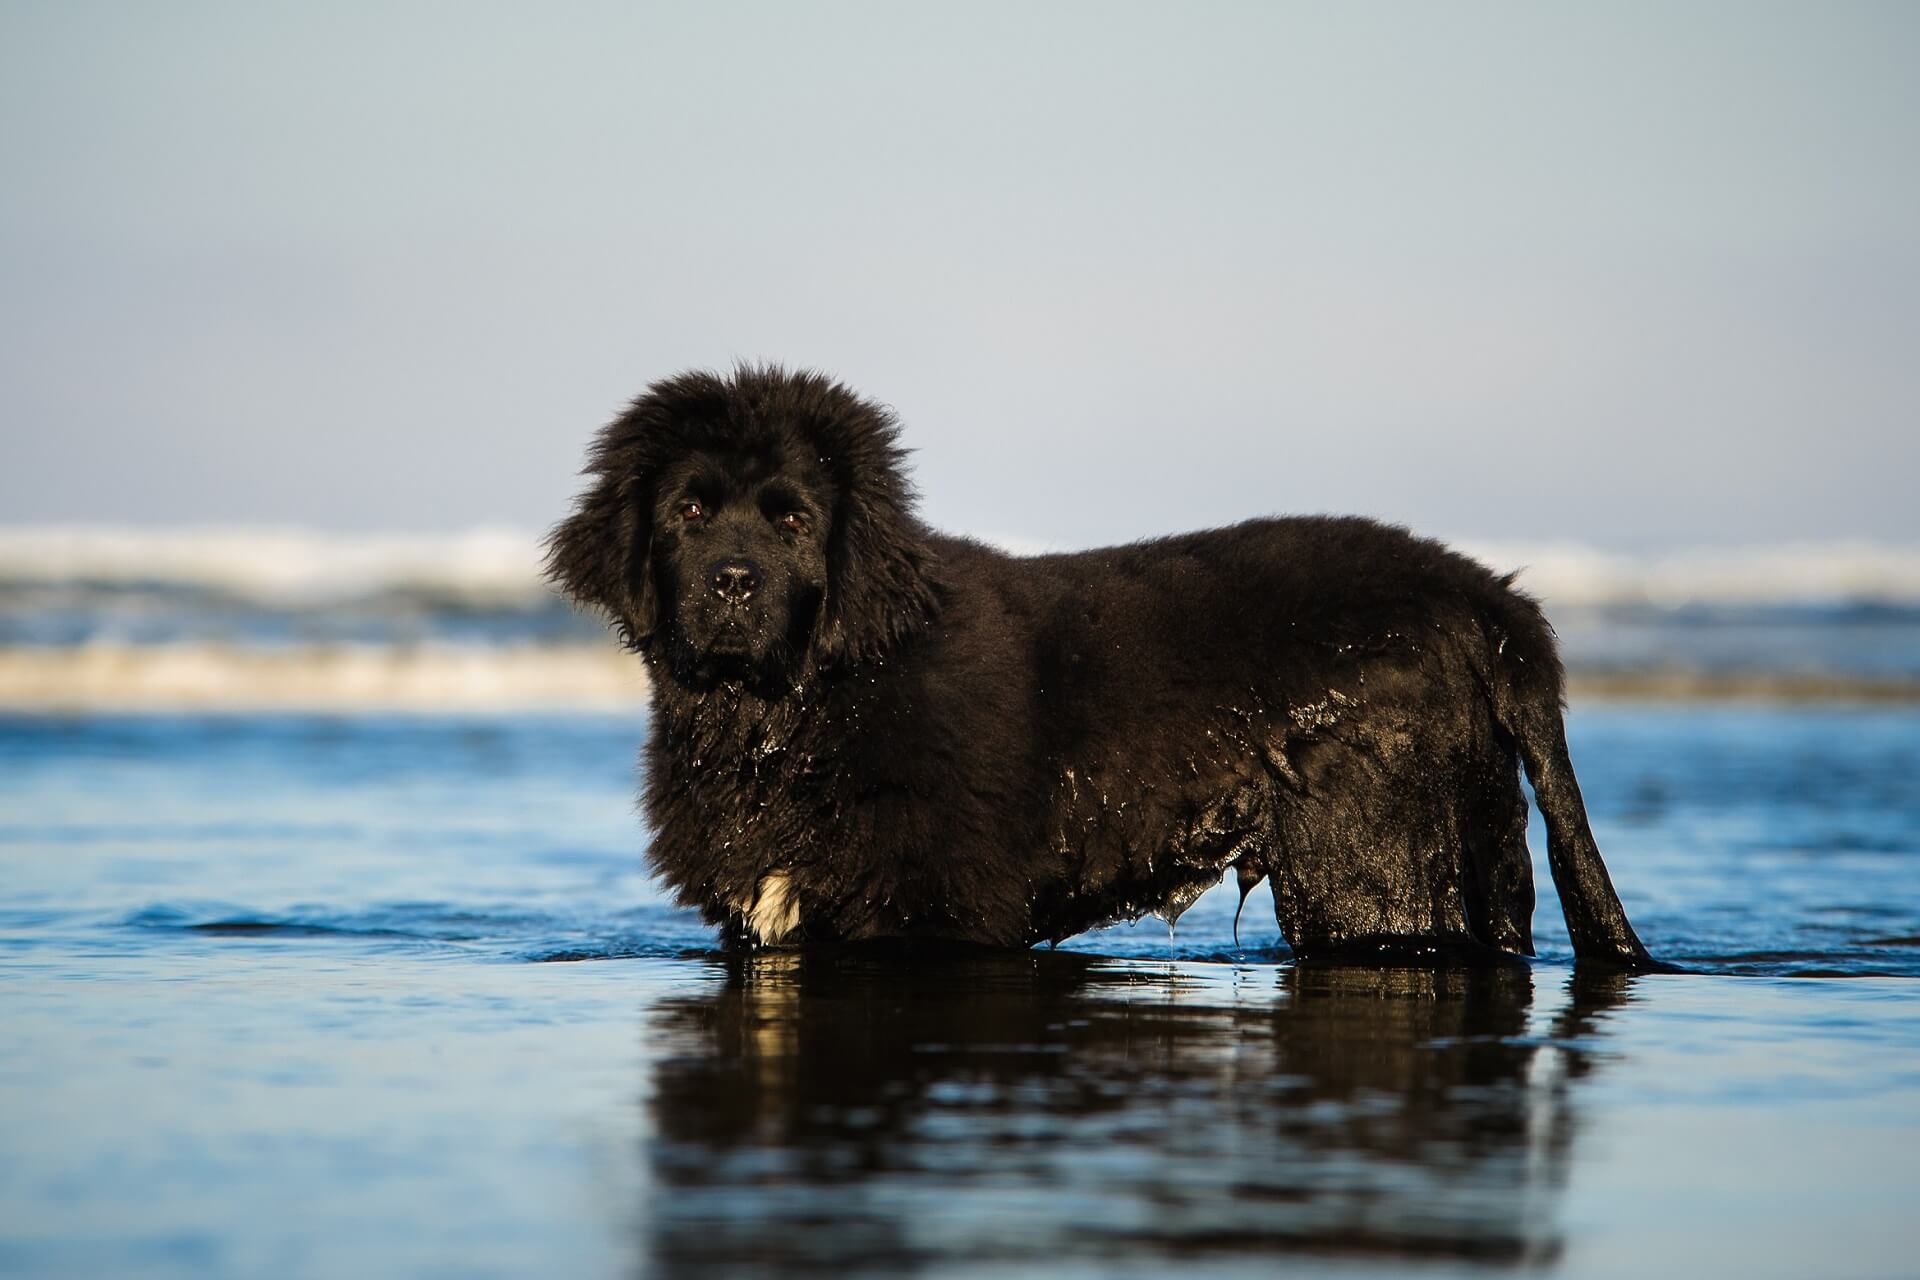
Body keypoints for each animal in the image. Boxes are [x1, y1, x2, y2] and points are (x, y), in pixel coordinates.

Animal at [549, 364, 1658, 967]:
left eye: (792, 519)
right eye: (691, 510)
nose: (732, 582)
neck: (796, 716)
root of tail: (1497, 601)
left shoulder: (934, 910)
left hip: (1379, 871)